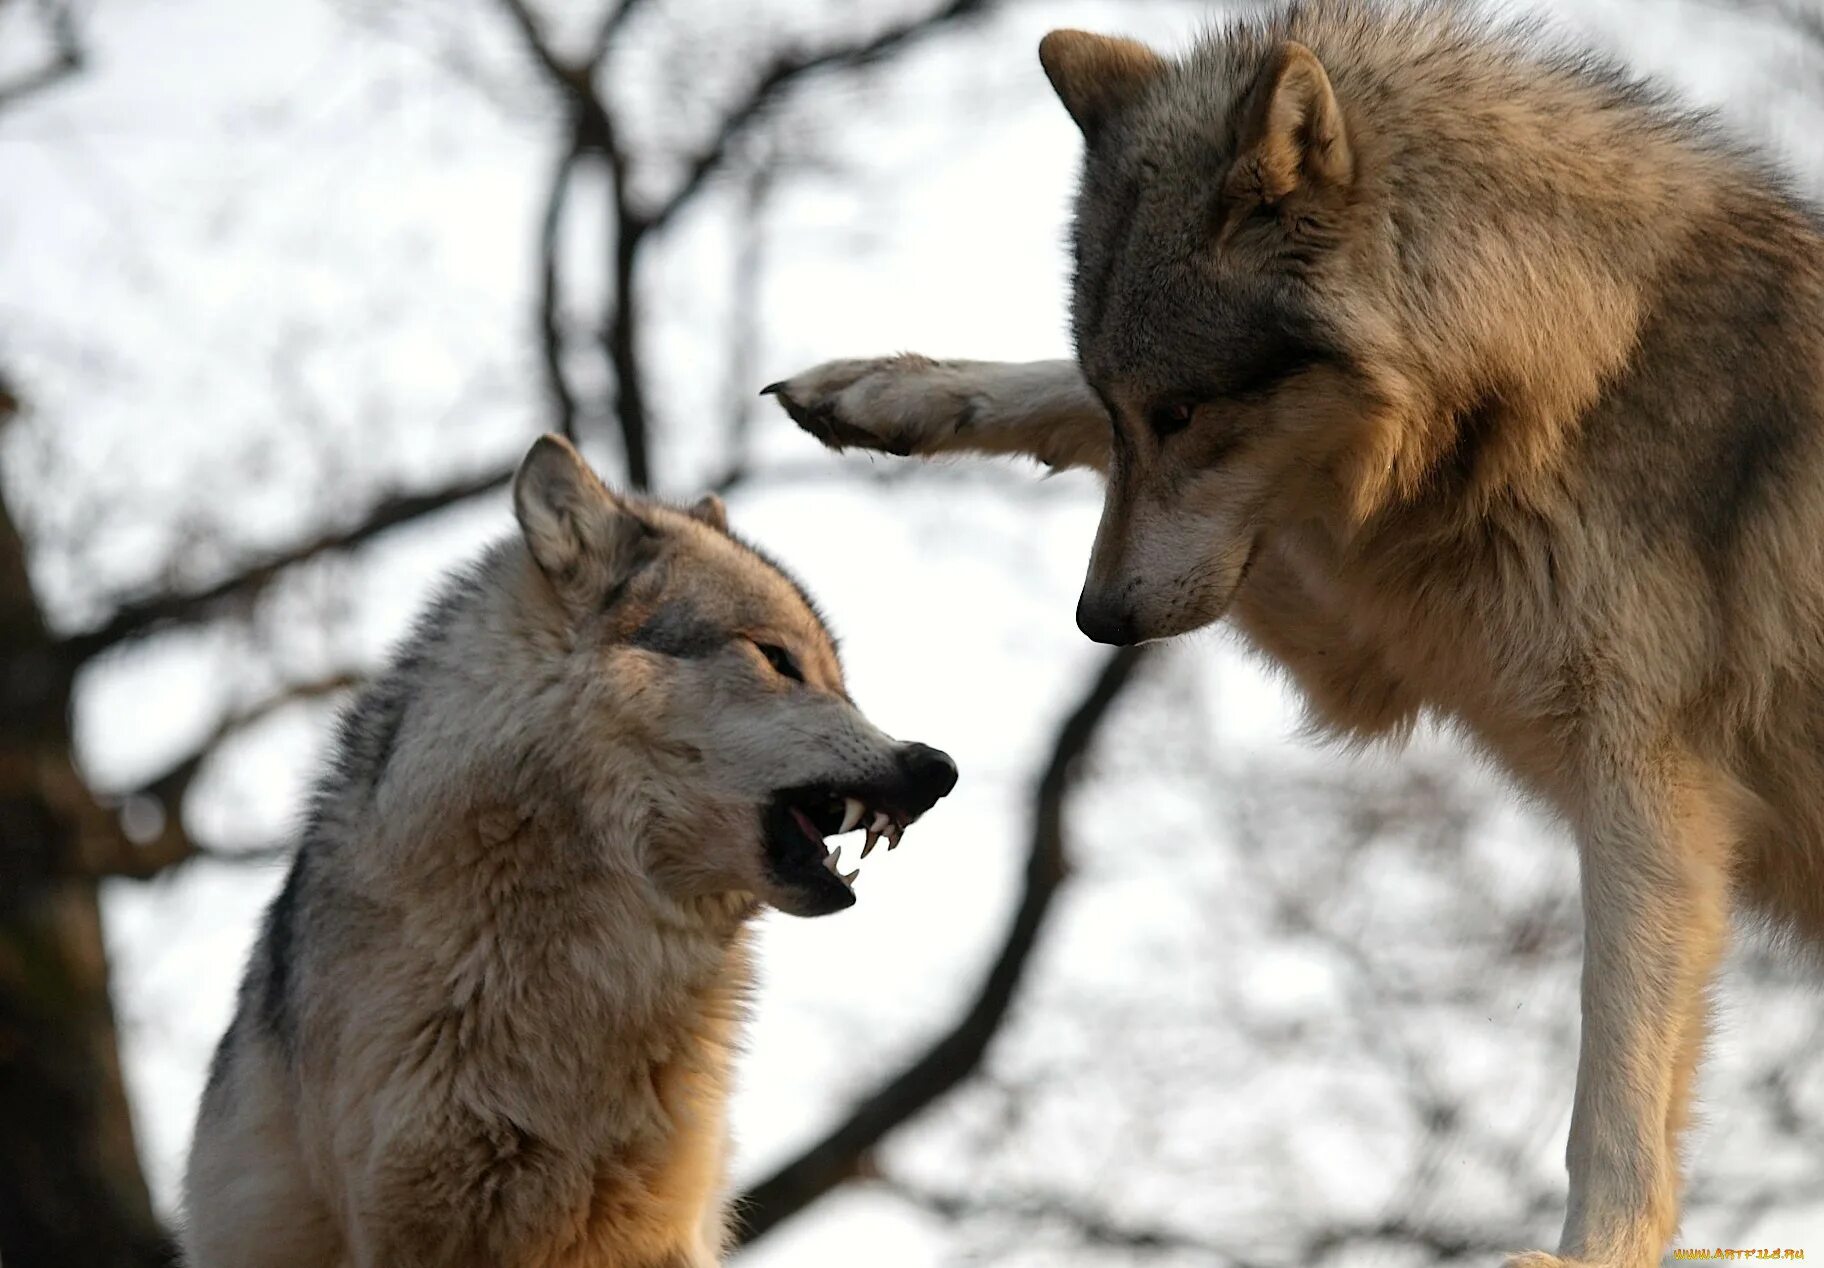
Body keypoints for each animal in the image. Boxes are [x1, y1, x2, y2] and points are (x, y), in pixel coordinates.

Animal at [762, 4, 1824, 1262]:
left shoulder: (1651, 789)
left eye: (1183, 411)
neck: (1580, 364)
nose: (1098, 618)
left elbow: (1614, 1087)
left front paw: (1588, 1248)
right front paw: (887, 390)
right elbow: (1054, 403)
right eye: (1129, 411)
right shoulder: (1364, 646)